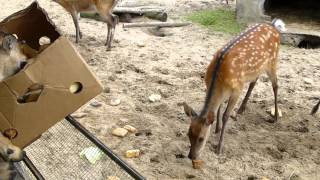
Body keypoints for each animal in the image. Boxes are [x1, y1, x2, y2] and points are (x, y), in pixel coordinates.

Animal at [184, 19, 286, 161]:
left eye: (201, 138)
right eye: (188, 134)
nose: (191, 156)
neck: (219, 79)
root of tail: (273, 25)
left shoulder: (237, 89)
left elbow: (225, 115)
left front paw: (219, 148)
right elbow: (219, 108)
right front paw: (217, 129)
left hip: (272, 62)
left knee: (276, 85)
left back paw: (275, 117)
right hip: (257, 68)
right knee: (254, 82)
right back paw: (241, 109)